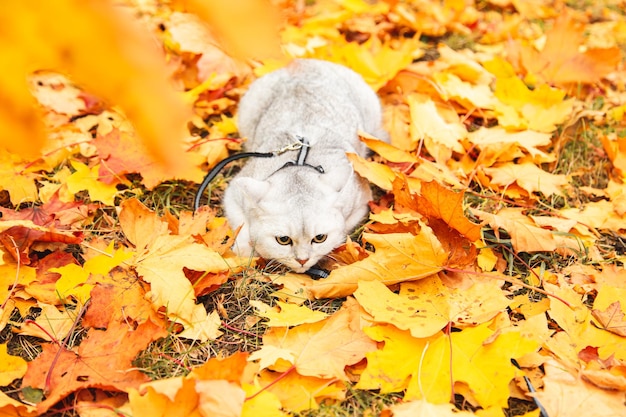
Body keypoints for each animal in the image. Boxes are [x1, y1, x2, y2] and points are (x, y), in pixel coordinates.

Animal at [219, 59, 386, 272]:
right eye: (283, 240)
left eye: (320, 238)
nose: (303, 260)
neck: (299, 165)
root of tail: (300, 62)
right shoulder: (233, 193)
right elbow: (242, 227)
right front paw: (245, 251)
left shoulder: (361, 202)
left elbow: (343, 229)